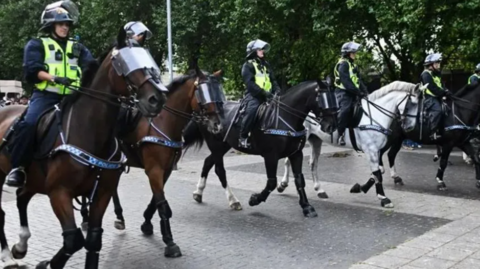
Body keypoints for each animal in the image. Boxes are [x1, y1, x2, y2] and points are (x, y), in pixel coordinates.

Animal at [0, 25, 167, 268]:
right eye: (124, 63)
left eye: (149, 59)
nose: (157, 99)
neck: (89, 132)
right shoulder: (59, 192)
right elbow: (73, 240)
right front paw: (47, 263)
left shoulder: (102, 192)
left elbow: (93, 239)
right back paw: (7, 255)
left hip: (34, 179)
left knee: (21, 197)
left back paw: (20, 246)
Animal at [78, 68, 227, 256]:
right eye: (203, 92)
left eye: (219, 91)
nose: (218, 125)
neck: (163, 120)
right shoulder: (154, 169)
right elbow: (162, 203)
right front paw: (169, 241)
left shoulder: (166, 169)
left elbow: (155, 200)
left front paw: (147, 223)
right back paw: (85, 216)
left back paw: (118, 217)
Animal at [183, 79, 338, 216]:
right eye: (323, 98)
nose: (331, 126)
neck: (284, 118)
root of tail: (204, 111)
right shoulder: (271, 156)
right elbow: (272, 183)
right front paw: (255, 199)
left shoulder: (296, 154)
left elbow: (299, 179)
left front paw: (306, 206)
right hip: (216, 146)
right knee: (219, 170)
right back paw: (233, 201)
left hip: (223, 146)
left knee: (207, 162)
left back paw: (198, 193)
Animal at [280, 81, 422, 207]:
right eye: (411, 104)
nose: (410, 127)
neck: (374, 116)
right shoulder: (371, 150)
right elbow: (377, 174)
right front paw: (383, 198)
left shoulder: (376, 151)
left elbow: (378, 172)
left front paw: (359, 188)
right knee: (288, 161)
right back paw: (283, 184)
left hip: (316, 140)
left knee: (313, 163)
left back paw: (319, 189)